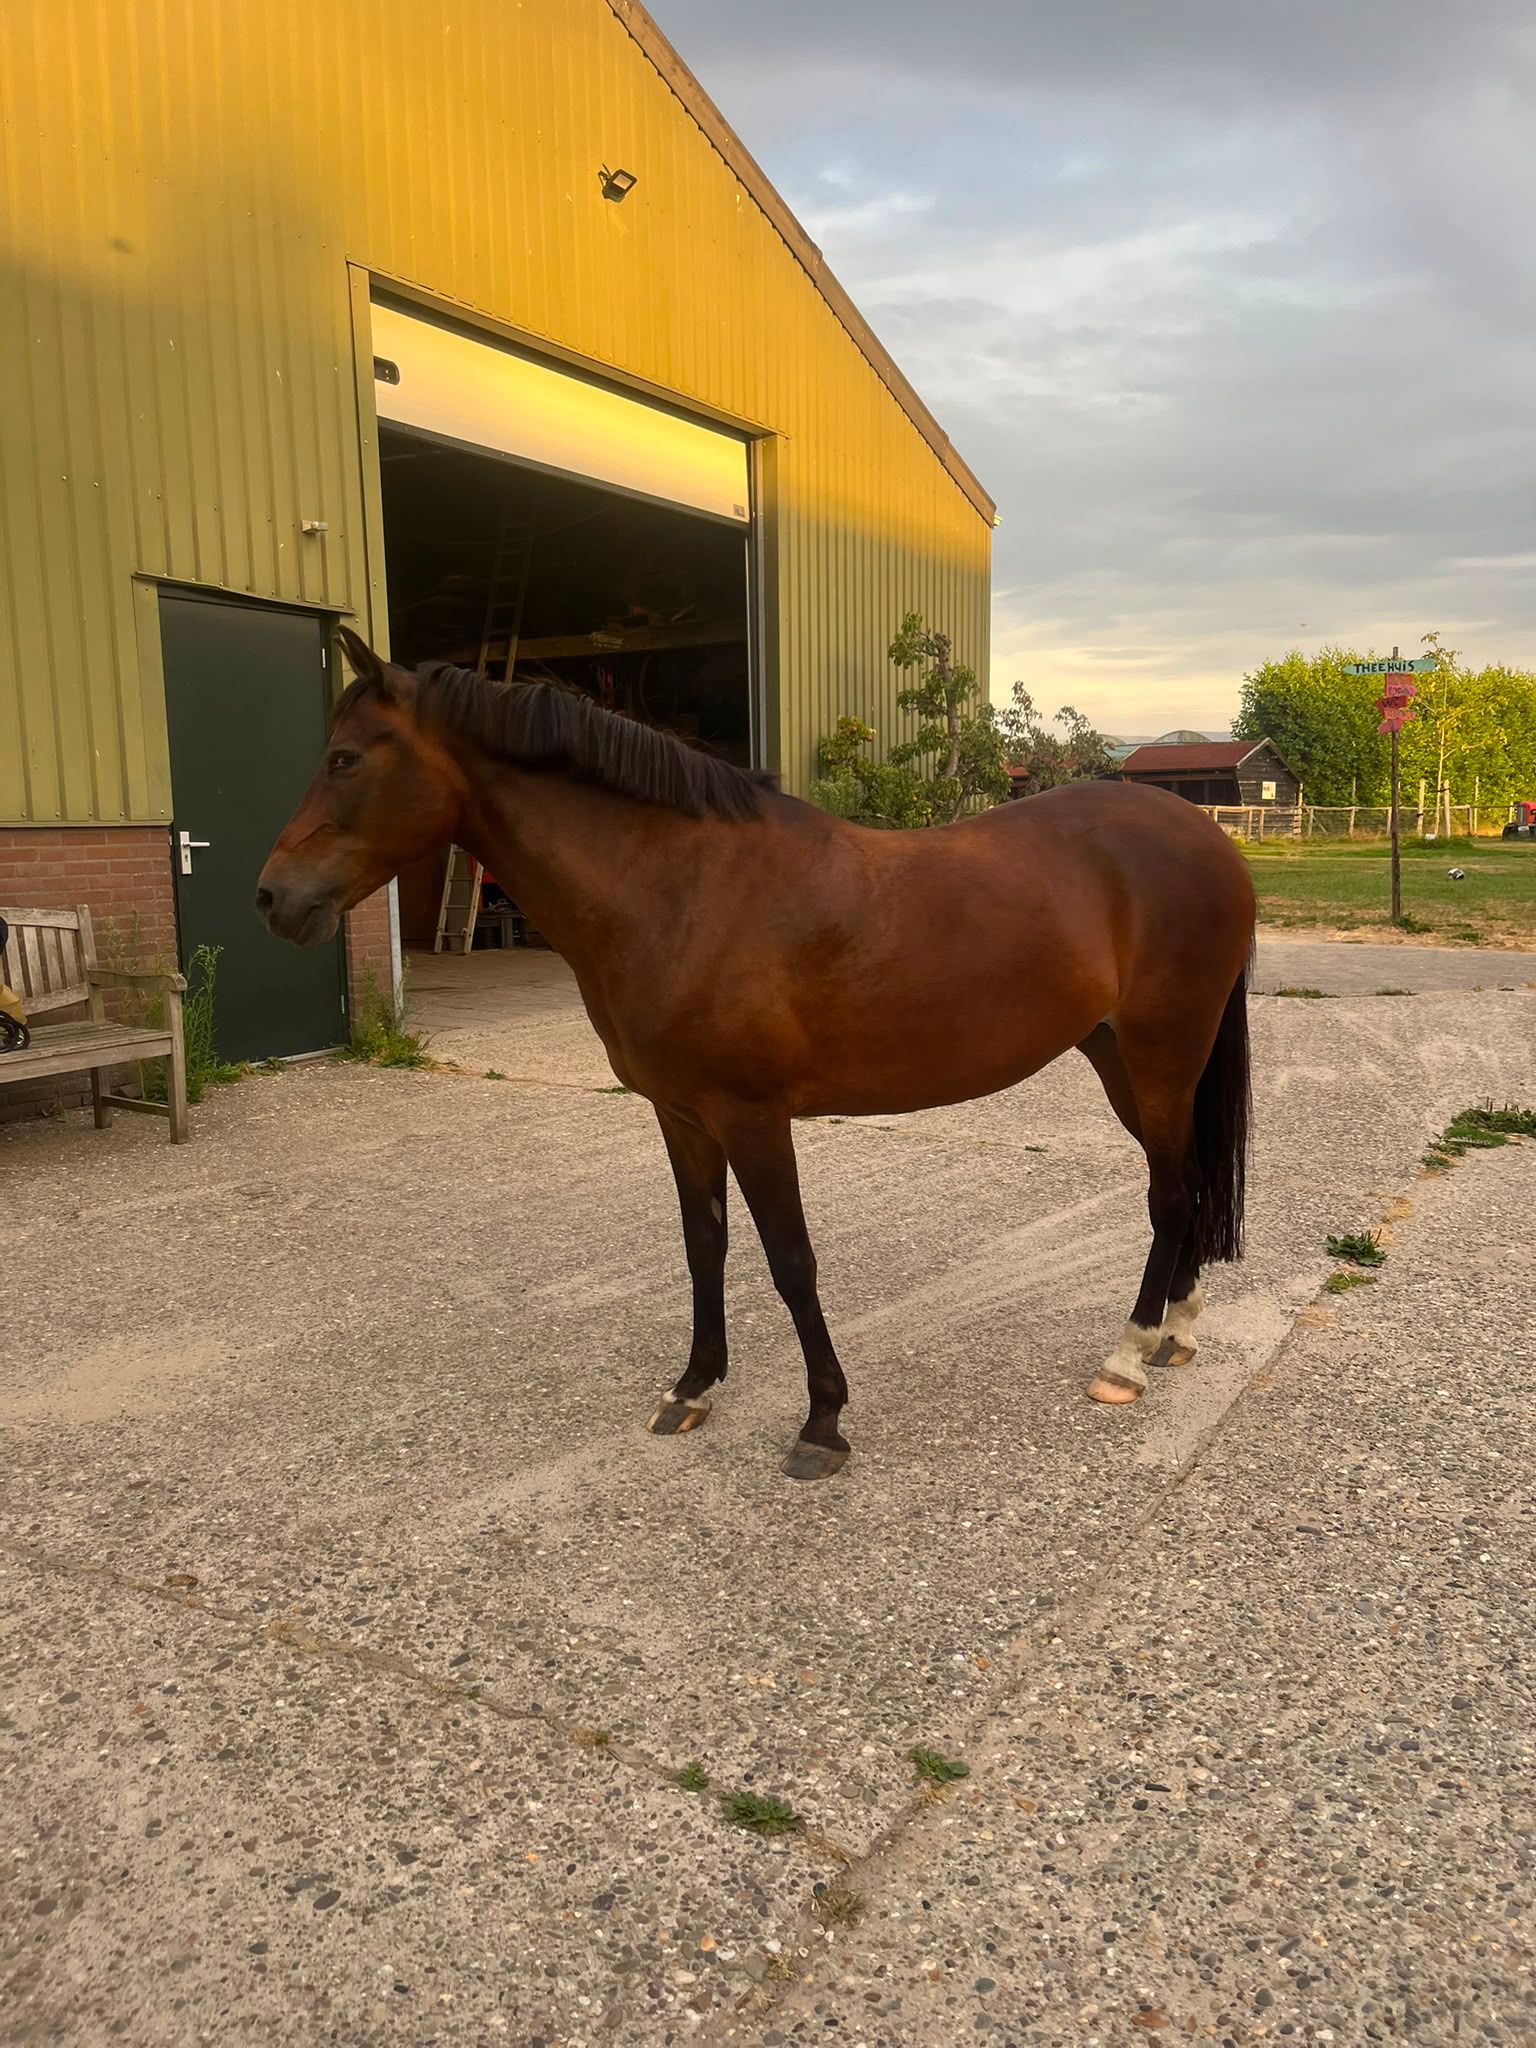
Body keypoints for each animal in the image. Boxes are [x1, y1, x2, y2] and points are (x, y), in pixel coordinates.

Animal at [258, 632, 1255, 1481]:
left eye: (346, 758)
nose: (272, 898)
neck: (680, 889)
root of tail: (1208, 835)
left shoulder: (753, 1116)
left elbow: (790, 1260)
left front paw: (823, 1422)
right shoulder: (681, 1114)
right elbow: (706, 1246)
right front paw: (693, 1387)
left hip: (1163, 1052)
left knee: (1171, 1192)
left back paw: (1128, 1355)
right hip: (1119, 1057)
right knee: (1181, 1180)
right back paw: (1175, 1331)